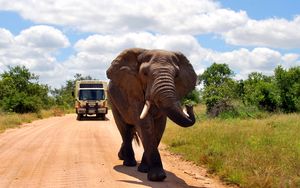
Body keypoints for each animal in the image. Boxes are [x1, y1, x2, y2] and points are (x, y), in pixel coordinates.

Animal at [106, 47, 198, 181]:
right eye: (145, 73)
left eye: (176, 75)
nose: (189, 106)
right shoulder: (134, 91)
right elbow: (145, 125)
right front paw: (157, 177)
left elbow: (159, 127)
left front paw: (145, 170)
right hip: (112, 100)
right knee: (125, 130)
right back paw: (129, 163)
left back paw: (123, 157)